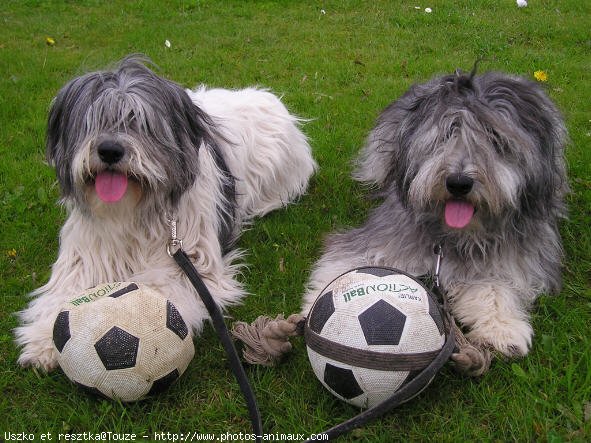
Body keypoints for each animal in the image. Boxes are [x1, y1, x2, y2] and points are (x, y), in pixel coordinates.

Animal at [306, 68, 568, 372]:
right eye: (446, 134)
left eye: (495, 138)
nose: (458, 183)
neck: (454, 235)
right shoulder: (384, 237)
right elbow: (345, 267)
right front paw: (314, 307)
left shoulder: (517, 255)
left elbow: (497, 287)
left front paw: (503, 329)